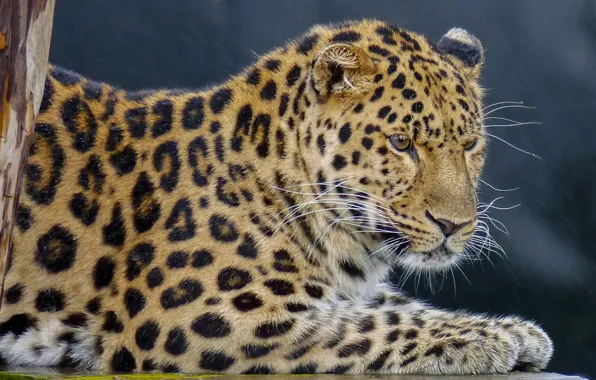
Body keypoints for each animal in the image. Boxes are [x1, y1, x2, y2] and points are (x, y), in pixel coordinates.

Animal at [0, 19, 556, 376]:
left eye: (470, 145)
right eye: (402, 144)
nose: (455, 226)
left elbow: (394, 306)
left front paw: (514, 330)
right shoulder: (197, 315)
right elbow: (368, 325)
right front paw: (486, 338)